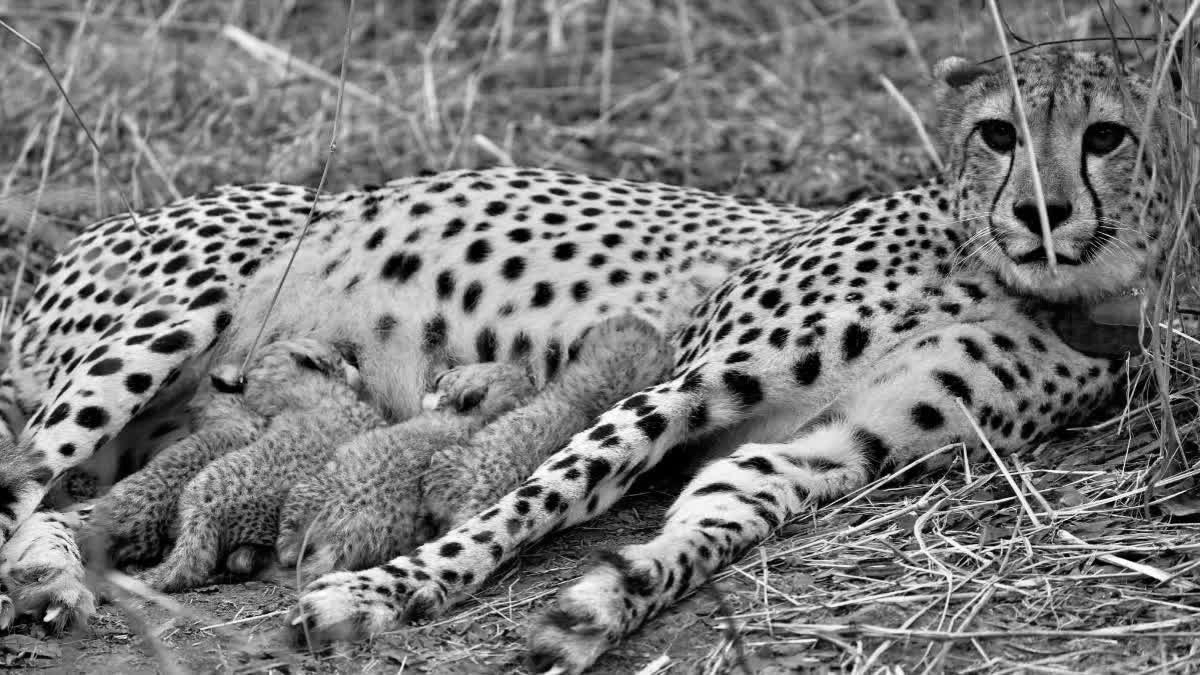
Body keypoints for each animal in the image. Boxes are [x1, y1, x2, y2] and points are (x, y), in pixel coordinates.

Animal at [0, 49, 1174, 673]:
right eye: (997, 132)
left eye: (1106, 135)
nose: (1042, 212)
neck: (1021, 281)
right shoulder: (684, 378)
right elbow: (537, 496)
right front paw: (387, 591)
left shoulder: (821, 450)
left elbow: (703, 529)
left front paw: (601, 607)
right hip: (169, 321)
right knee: (22, 479)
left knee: (71, 503)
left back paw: (60, 576)